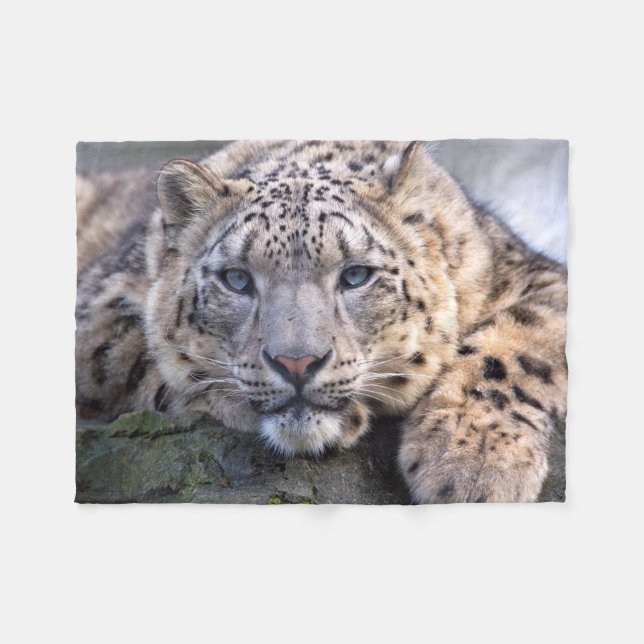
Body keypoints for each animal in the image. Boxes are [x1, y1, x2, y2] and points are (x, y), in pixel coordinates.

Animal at [76, 140, 568, 503]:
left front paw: (473, 461)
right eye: (236, 279)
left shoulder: (540, 279)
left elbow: (514, 346)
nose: (296, 363)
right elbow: (159, 364)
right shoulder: (100, 311)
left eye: (355, 275)